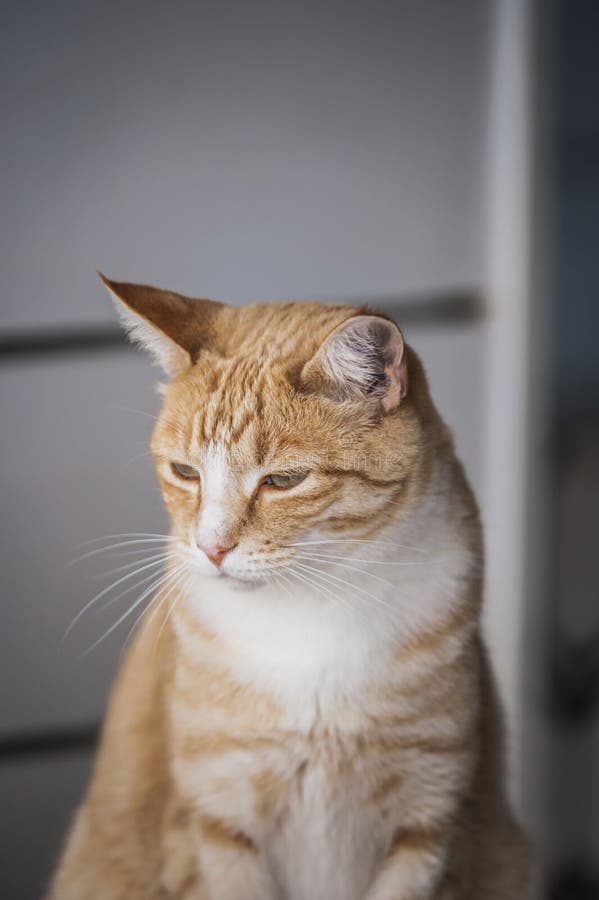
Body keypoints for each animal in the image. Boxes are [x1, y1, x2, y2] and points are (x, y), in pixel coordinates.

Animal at [49, 276, 536, 900]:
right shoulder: (217, 821)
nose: (211, 547)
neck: (310, 620)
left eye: (283, 480)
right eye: (186, 473)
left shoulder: (428, 820)